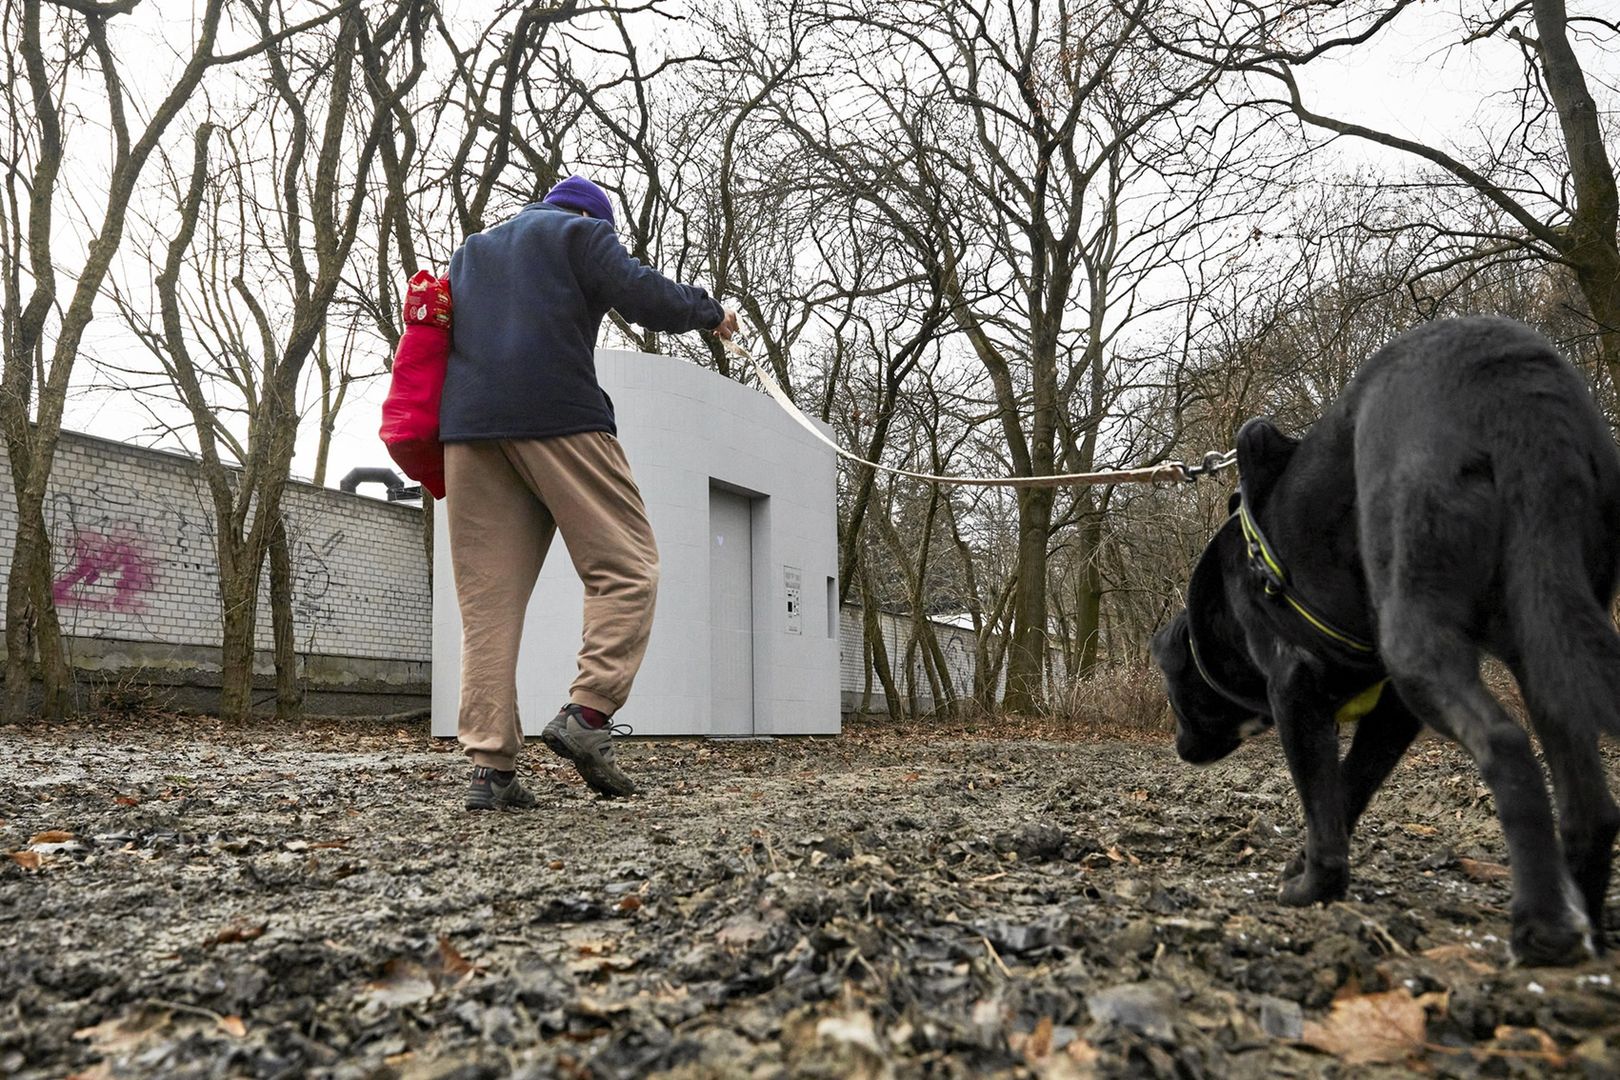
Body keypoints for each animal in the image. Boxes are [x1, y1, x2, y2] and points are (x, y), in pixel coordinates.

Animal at [1153, 317, 1620, 965]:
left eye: (1175, 694)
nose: (1180, 748)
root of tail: (1509, 382)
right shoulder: (1392, 709)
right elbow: (1347, 788)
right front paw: (1306, 866)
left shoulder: (1294, 688)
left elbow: (1322, 797)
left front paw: (1314, 886)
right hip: (1547, 625)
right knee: (1589, 802)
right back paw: (1585, 922)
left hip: (1418, 635)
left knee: (1505, 743)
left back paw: (1541, 925)